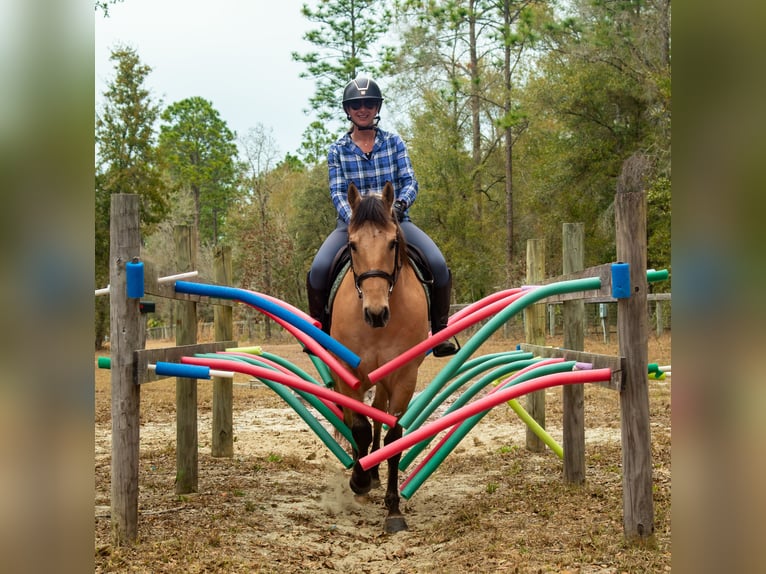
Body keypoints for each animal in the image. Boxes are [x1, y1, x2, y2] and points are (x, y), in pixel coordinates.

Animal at [330, 181, 429, 533]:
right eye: (352, 245)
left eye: (392, 243)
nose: (376, 314)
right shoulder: (348, 372)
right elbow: (357, 427)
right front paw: (358, 482)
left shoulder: (403, 376)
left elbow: (393, 436)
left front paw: (393, 508)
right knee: (358, 419)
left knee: (378, 415)